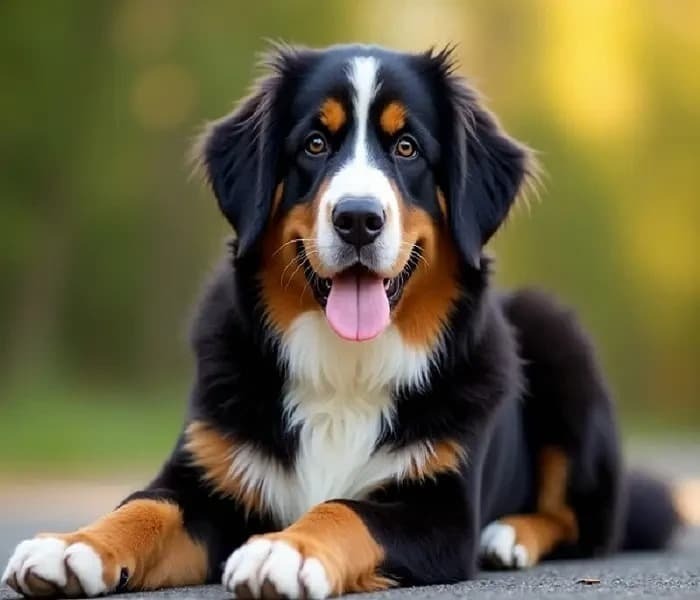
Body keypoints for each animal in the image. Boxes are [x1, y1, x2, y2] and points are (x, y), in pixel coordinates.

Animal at [1, 44, 680, 596]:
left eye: (407, 147)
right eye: (314, 144)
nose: (357, 218)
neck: (344, 367)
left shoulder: (438, 511)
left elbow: (343, 509)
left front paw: (284, 552)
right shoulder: (206, 477)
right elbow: (145, 507)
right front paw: (73, 546)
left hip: (556, 336)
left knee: (581, 523)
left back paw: (508, 536)